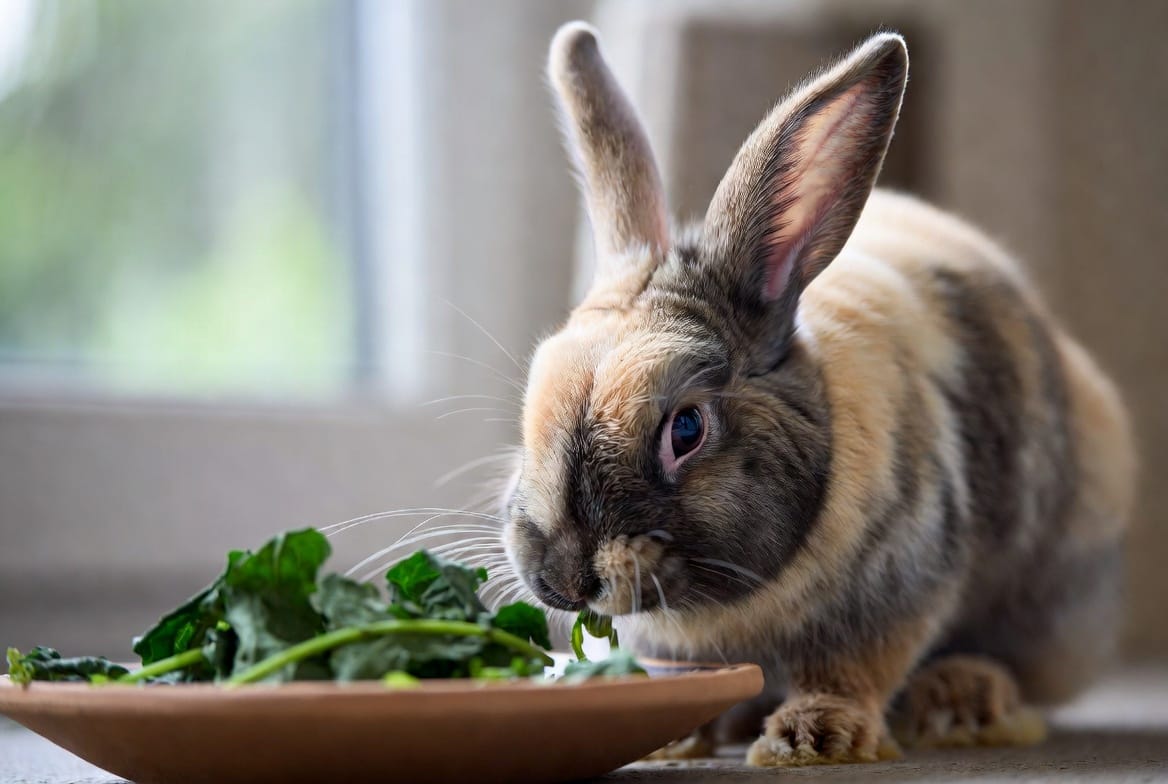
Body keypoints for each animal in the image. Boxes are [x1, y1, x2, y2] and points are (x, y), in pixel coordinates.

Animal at [500, 22, 1136, 767]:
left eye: (686, 430)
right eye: (529, 408)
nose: (561, 578)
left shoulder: (892, 595)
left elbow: (852, 670)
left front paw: (813, 738)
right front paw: (674, 735)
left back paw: (961, 700)